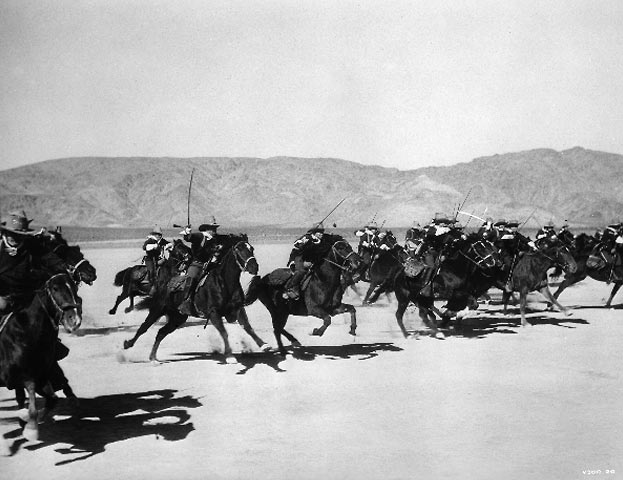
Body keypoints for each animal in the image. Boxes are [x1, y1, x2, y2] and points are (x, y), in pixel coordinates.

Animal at [0, 273, 82, 443]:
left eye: (75, 286)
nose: (74, 320)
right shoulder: (25, 377)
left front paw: (27, 421)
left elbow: (52, 399)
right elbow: (32, 400)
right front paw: (31, 428)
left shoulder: (42, 375)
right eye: (55, 288)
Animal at [124, 234, 268, 362]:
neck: (224, 282)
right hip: (157, 310)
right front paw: (229, 356)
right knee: (144, 327)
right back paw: (128, 344)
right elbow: (224, 332)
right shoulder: (213, 313)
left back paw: (153, 358)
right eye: (238, 249)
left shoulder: (238, 309)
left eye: (251, 248)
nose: (254, 267)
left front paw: (264, 345)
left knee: (161, 333)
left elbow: (248, 327)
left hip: (177, 318)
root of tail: (163, 286)